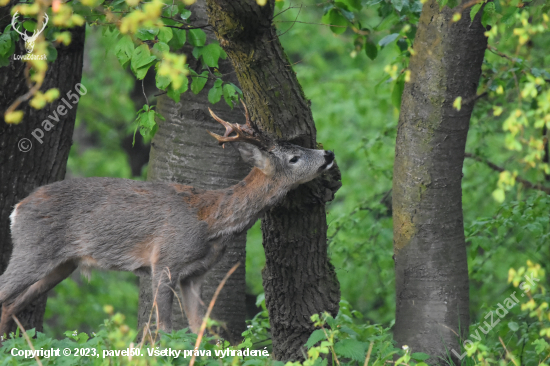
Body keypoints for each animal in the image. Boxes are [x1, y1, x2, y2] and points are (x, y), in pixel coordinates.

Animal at [0, 102, 336, 340]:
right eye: (293, 158)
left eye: (299, 147)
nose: (329, 154)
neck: (211, 222)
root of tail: (17, 209)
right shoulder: (164, 261)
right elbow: (163, 331)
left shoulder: (195, 274)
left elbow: (203, 329)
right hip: (33, 250)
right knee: (5, 293)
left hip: (63, 265)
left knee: (9, 306)